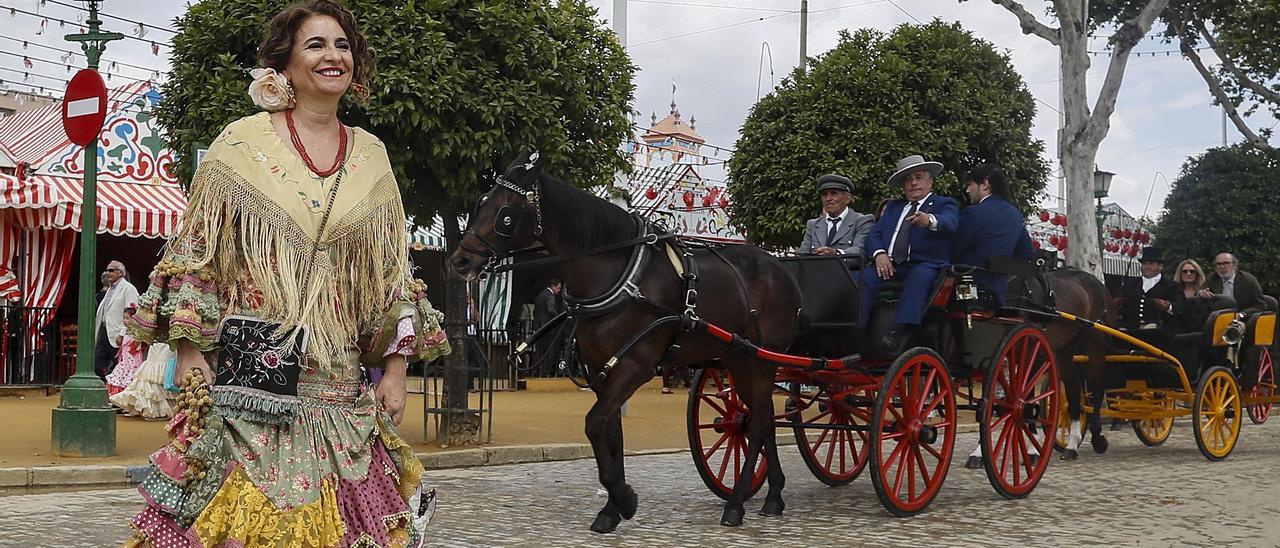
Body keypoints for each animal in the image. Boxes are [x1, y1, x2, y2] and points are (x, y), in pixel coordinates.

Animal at [445, 149, 793, 530]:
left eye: (506, 214)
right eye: (481, 202)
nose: (460, 260)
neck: (621, 275)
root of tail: (778, 266)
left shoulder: (635, 366)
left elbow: (594, 423)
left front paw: (623, 498)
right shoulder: (601, 369)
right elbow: (611, 431)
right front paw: (612, 507)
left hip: (763, 360)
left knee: (757, 423)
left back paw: (737, 501)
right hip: (738, 359)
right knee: (762, 419)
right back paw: (773, 495)